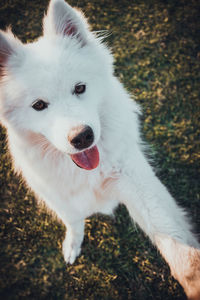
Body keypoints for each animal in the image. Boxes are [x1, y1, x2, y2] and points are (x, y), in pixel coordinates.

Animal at [0, 1, 199, 298]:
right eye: (39, 105)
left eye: (80, 88)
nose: (82, 137)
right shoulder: (56, 195)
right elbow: (73, 221)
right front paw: (73, 245)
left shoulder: (134, 180)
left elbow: (172, 238)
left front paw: (192, 276)